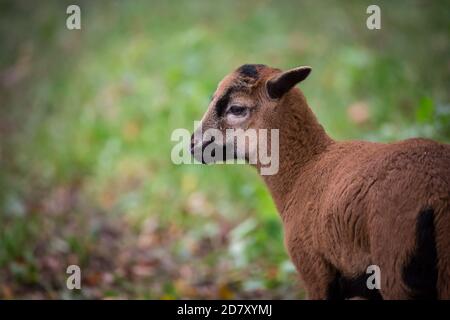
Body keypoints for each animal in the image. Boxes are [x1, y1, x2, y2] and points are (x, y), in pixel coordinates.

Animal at [190, 63, 450, 298]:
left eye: (236, 108)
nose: (192, 144)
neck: (305, 168)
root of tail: (437, 194)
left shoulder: (313, 269)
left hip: (395, 265)